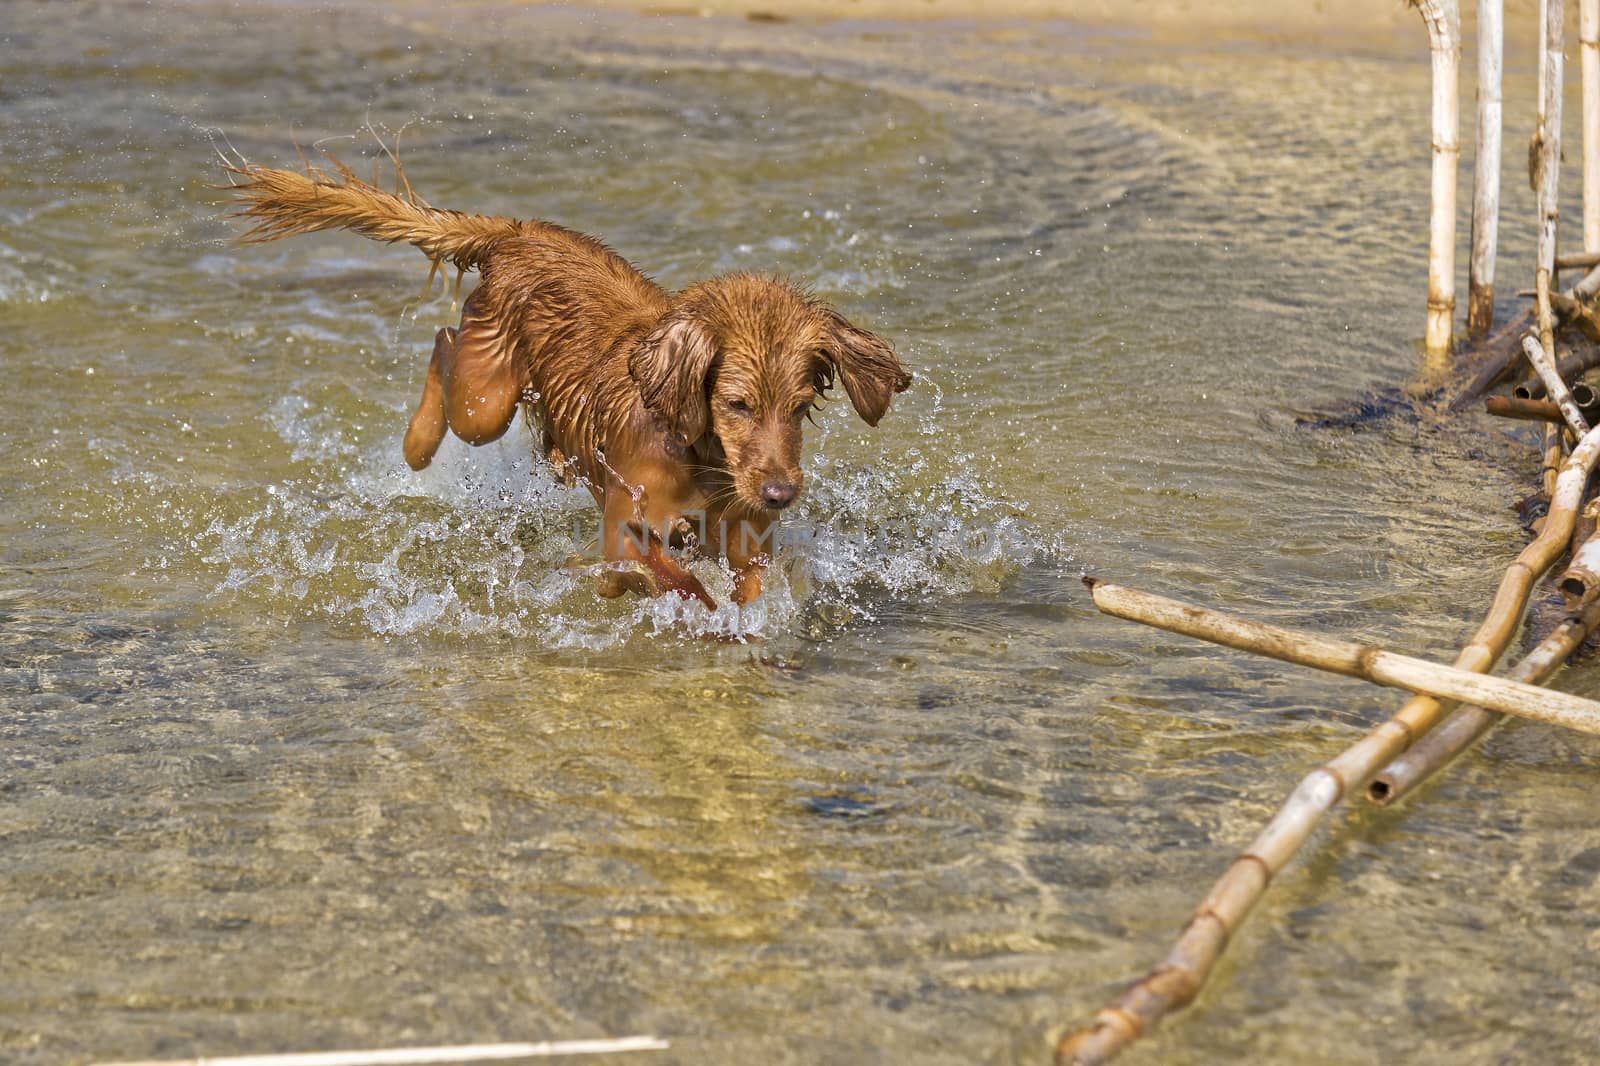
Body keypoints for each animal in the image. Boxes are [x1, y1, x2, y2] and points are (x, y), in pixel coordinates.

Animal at [222, 158, 915, 605]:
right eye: (737, 404)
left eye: (798, 408)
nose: (779, 493)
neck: (698, 453)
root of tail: (514, 231)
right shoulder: (627, 519)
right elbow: (657, 571)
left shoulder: (744, 535)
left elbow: (746, 583)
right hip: (484, 400)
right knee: (443, 349)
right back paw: (417, 445)